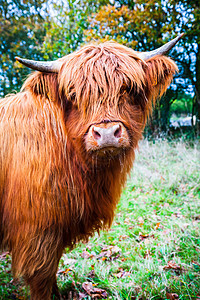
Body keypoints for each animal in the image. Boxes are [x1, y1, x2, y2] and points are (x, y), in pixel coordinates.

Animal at [0, 34, 182, 298]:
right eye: (74, 94)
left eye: (128, 89)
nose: (106, 134)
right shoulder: (36, 232)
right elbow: (42, 277)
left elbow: (52, 272)